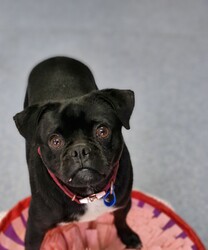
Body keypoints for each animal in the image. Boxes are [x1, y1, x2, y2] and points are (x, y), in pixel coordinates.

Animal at [13, 57, 142, 250]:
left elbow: (121, 219)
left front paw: (128, 236)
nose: (80, 150)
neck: (89, 194)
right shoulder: (35, 228)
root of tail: (55, 58)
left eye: (102, 131)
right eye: (55, 141)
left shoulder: (123, 202)